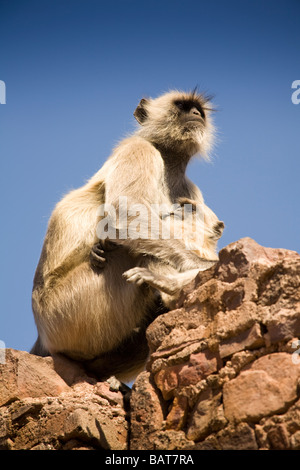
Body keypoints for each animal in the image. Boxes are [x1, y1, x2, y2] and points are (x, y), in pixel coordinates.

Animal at [31, 89, 223, 382]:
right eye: (182, 106)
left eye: (198, 110)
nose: (195, 114)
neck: (168, 162)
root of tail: (42, 334)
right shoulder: (138, 150)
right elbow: (124, 217)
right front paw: (200, 265)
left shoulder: (190, 190)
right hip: (67, 312)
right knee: (129, 252)